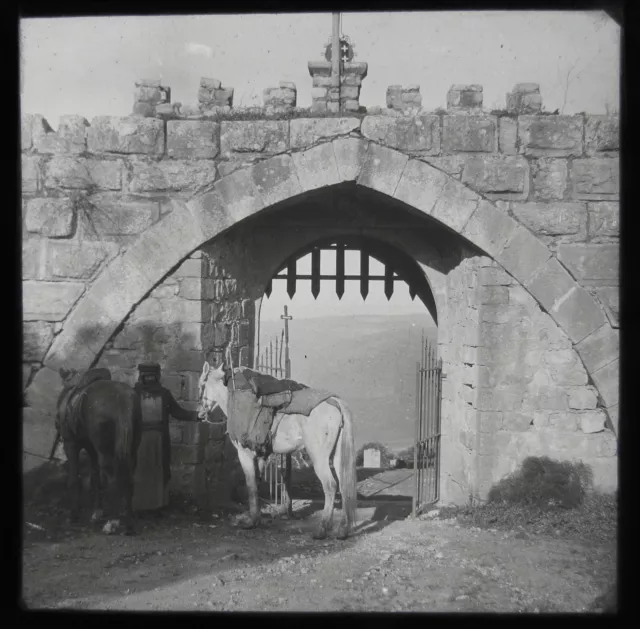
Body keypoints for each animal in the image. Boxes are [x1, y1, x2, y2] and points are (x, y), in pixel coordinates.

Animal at [56, 366, 142, 532]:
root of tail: (122, 400)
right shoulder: (91, 449)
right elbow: (95, 478)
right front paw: (97, 512)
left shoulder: (71, 444)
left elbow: (74, 480)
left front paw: (73, 515)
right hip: (131, 449)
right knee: (129, 477)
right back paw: (128, 520)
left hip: (105, 452)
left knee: (115, 479)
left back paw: (115, 522)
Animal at [198, 364, 358, 540]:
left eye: (201, 385)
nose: (200, 413)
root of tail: (335, 401)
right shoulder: (261, 457)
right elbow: (256, 483)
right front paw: (256, 518)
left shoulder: (245, 454)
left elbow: (250, 485)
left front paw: (251, 522)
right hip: (337, 456)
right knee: (344, 486)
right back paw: (342, 530)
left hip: (319, 458)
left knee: (330, 486)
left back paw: (321, 530)